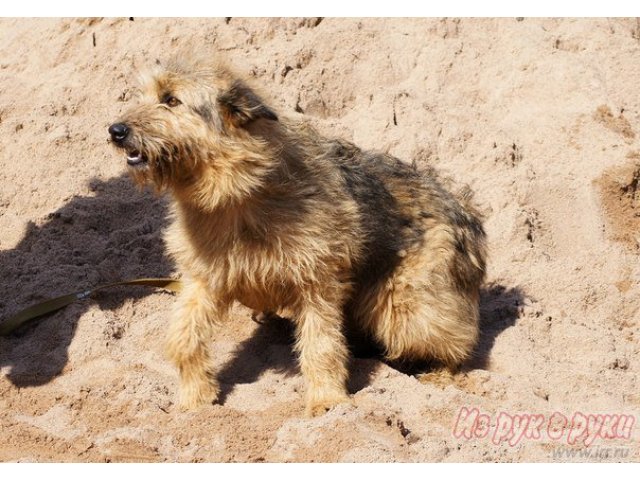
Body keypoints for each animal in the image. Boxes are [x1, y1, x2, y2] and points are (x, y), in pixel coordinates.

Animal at [109, 55, 484, 416]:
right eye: (142, 95)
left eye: (171, 100)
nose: (115, 130)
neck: (233, 197)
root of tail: (466, 212)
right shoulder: (203, 280)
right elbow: (182, 338)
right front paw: (194, 398)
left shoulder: (317, 282)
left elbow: (321, 345)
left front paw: (327, 401)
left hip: (408, 308)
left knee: (458, 341)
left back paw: (440, 375)